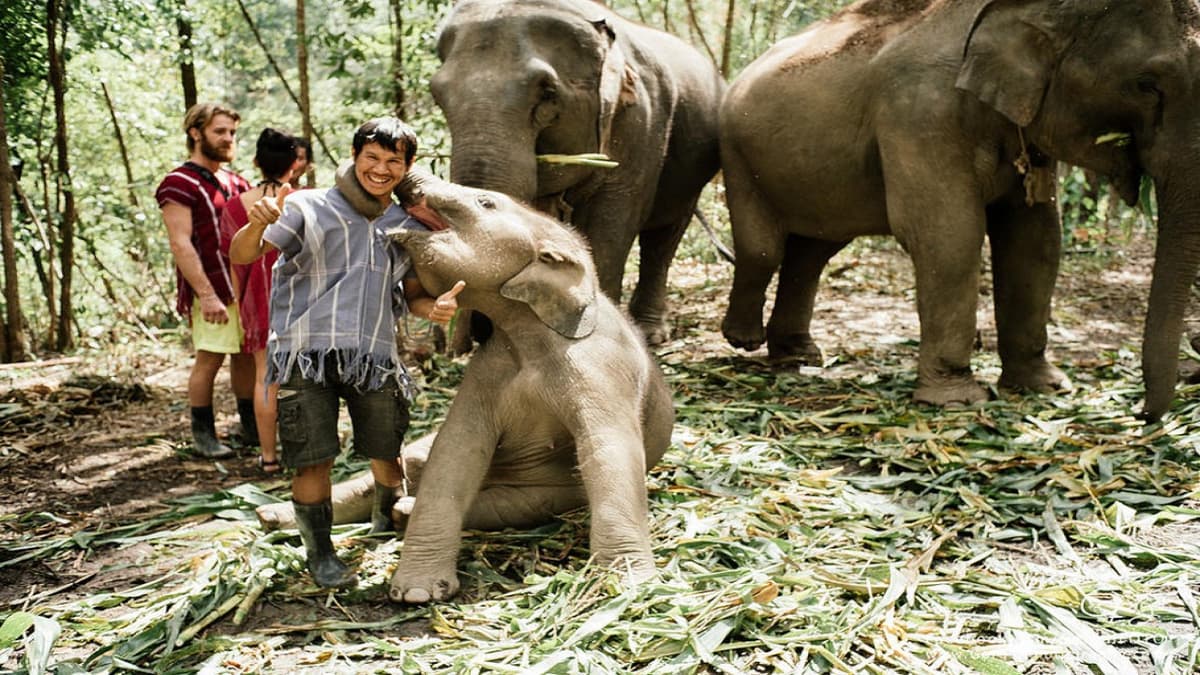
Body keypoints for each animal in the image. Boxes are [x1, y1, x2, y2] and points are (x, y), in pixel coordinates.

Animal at [369, 171, 674, 603]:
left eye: (486, 202)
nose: (406, 176)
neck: (527, 329)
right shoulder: (487, 369)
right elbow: (455, 450)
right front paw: (417, 594)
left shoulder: (604, 369)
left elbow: (608, 449)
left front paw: (629, 587)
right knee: (408, 463)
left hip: (547, 494)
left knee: (511, 506)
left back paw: (402, 511)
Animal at [430, 0, 725, 345]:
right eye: (436, 94)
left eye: (547, 92)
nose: (476, 333)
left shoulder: (642, 124)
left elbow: (610, 226)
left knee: (664, 236)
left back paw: (651, 334)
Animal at [719, 0, 1200, 419]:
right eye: (1147, 83)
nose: (1140, 412)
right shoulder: (918, 114)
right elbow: (949, 235)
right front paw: (957, 400)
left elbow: (1036, 240)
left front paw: (1044, 387)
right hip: (737, 154)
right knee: (763, 249)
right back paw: (744, 339)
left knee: (813, 251)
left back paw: (798, 355)